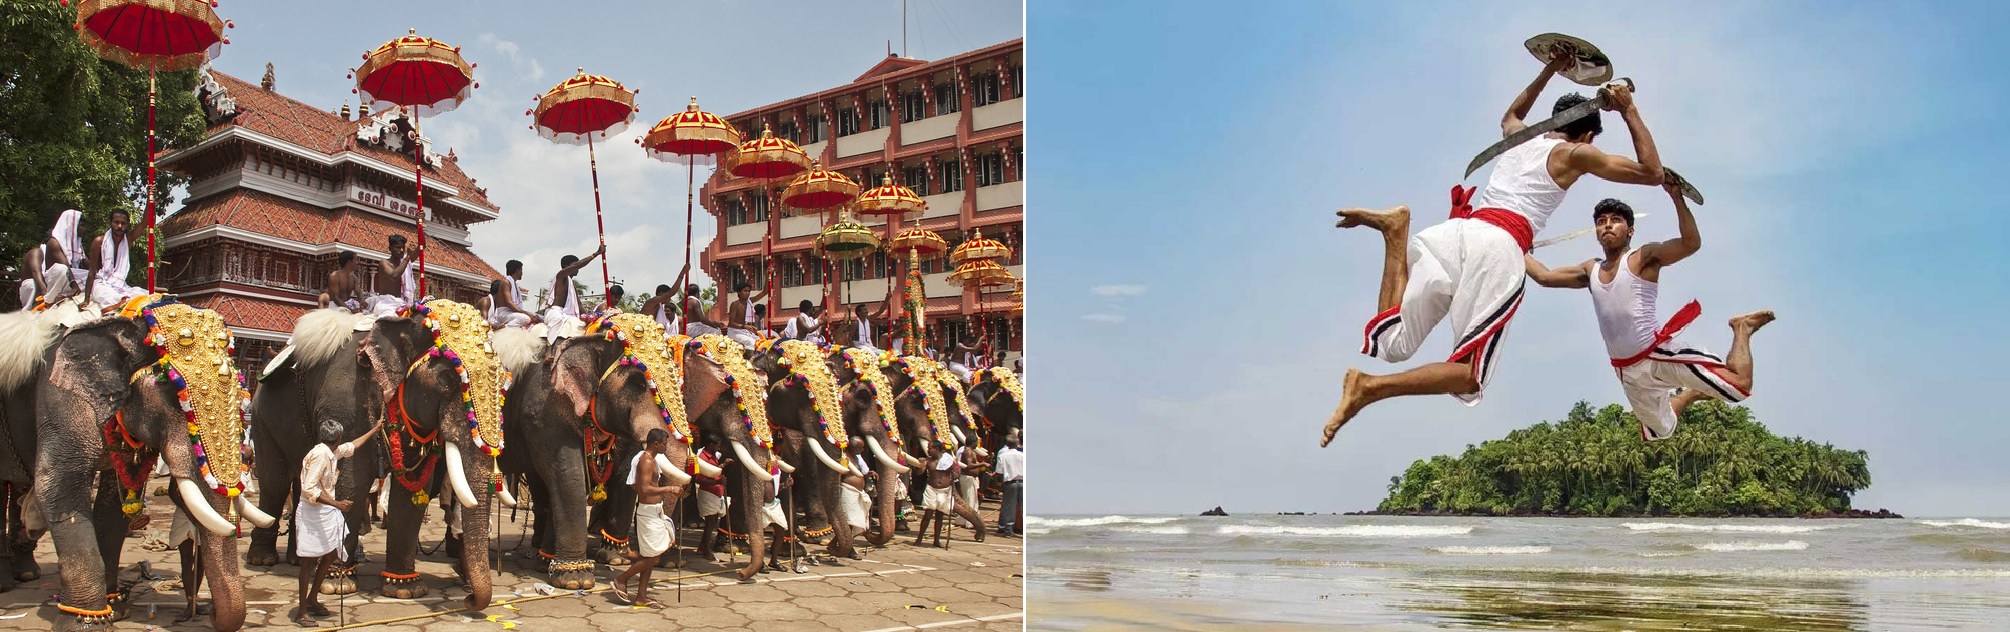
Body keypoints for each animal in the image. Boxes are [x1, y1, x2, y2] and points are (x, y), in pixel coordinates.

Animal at [33, 297, 277, 627]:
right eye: (175, 395)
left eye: (241, 397)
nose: (212, 612)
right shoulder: (59, 400)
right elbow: (56, 487)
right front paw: (85, 623)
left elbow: (115, 507)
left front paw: (114, 610)